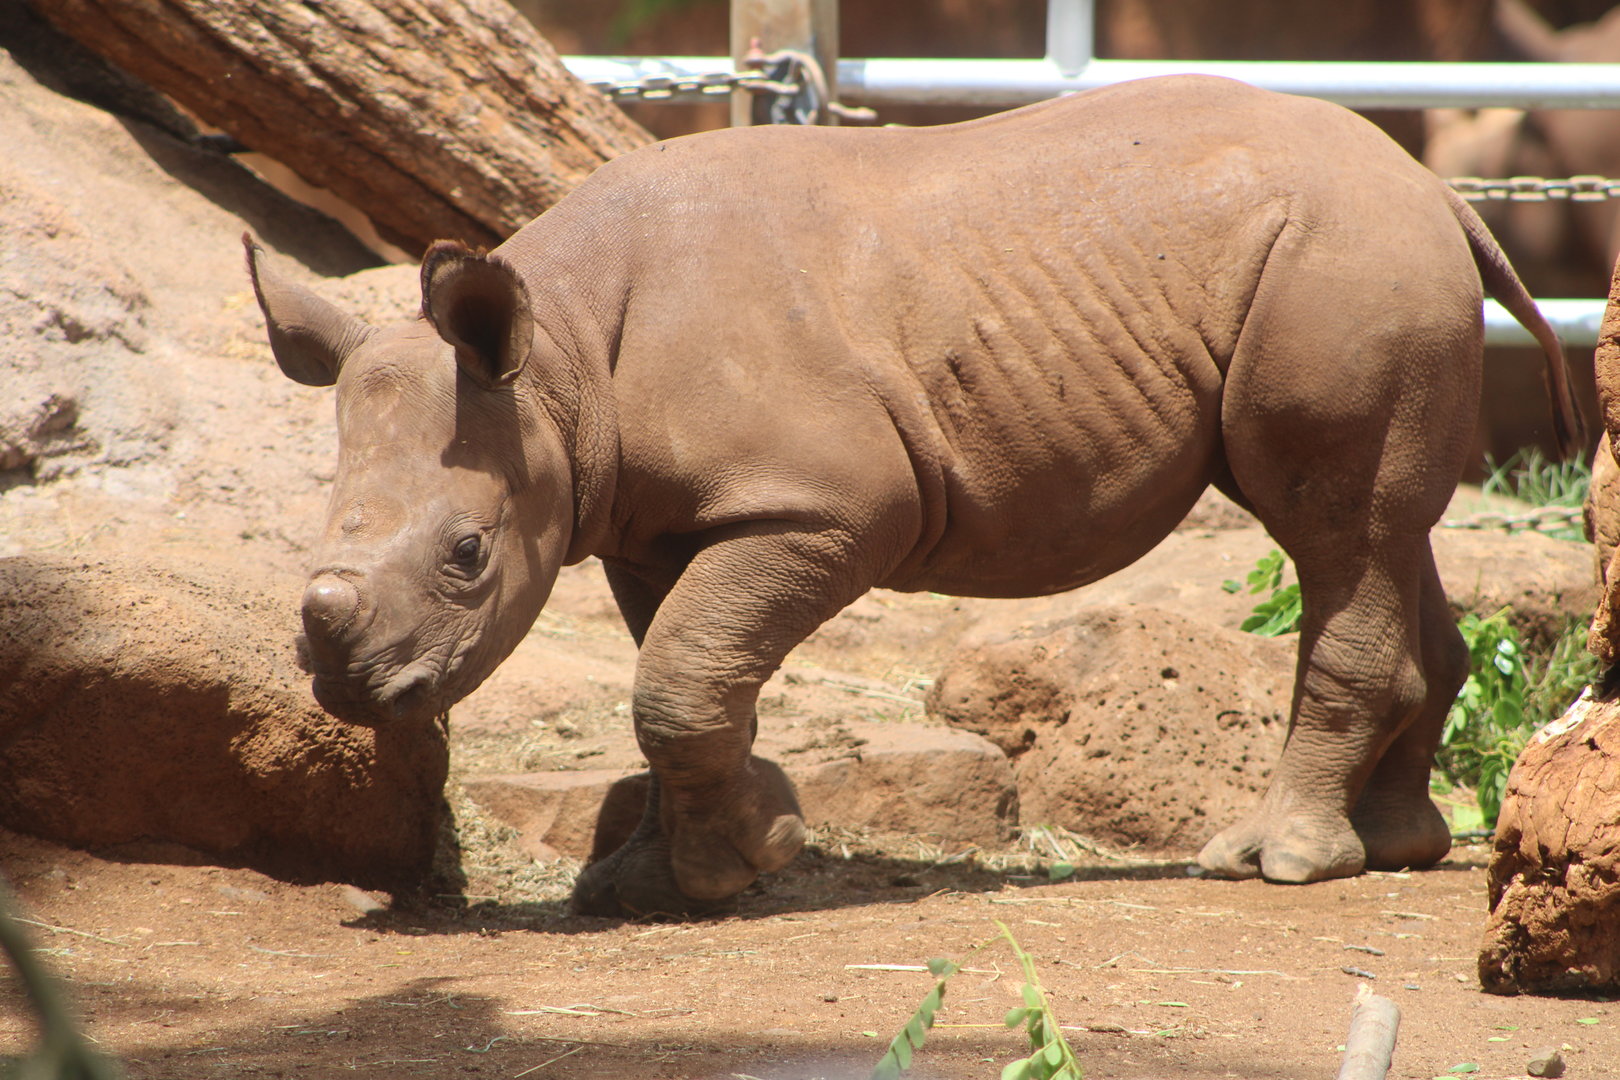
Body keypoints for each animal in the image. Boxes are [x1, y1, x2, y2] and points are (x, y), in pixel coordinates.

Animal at [247, 74, 1581, 917]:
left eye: (467, 553)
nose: (347, 690)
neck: (557, 365)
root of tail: (1437, 193)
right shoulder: (651, 516)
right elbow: (680, 676)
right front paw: (657, 879)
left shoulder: (823, 503)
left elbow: (678, 678)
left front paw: (738, 866)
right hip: (1360, 259)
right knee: (1385, 536)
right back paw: (1398, 849)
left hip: (1342, 261)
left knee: (1334, 529)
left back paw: (1278, 862)